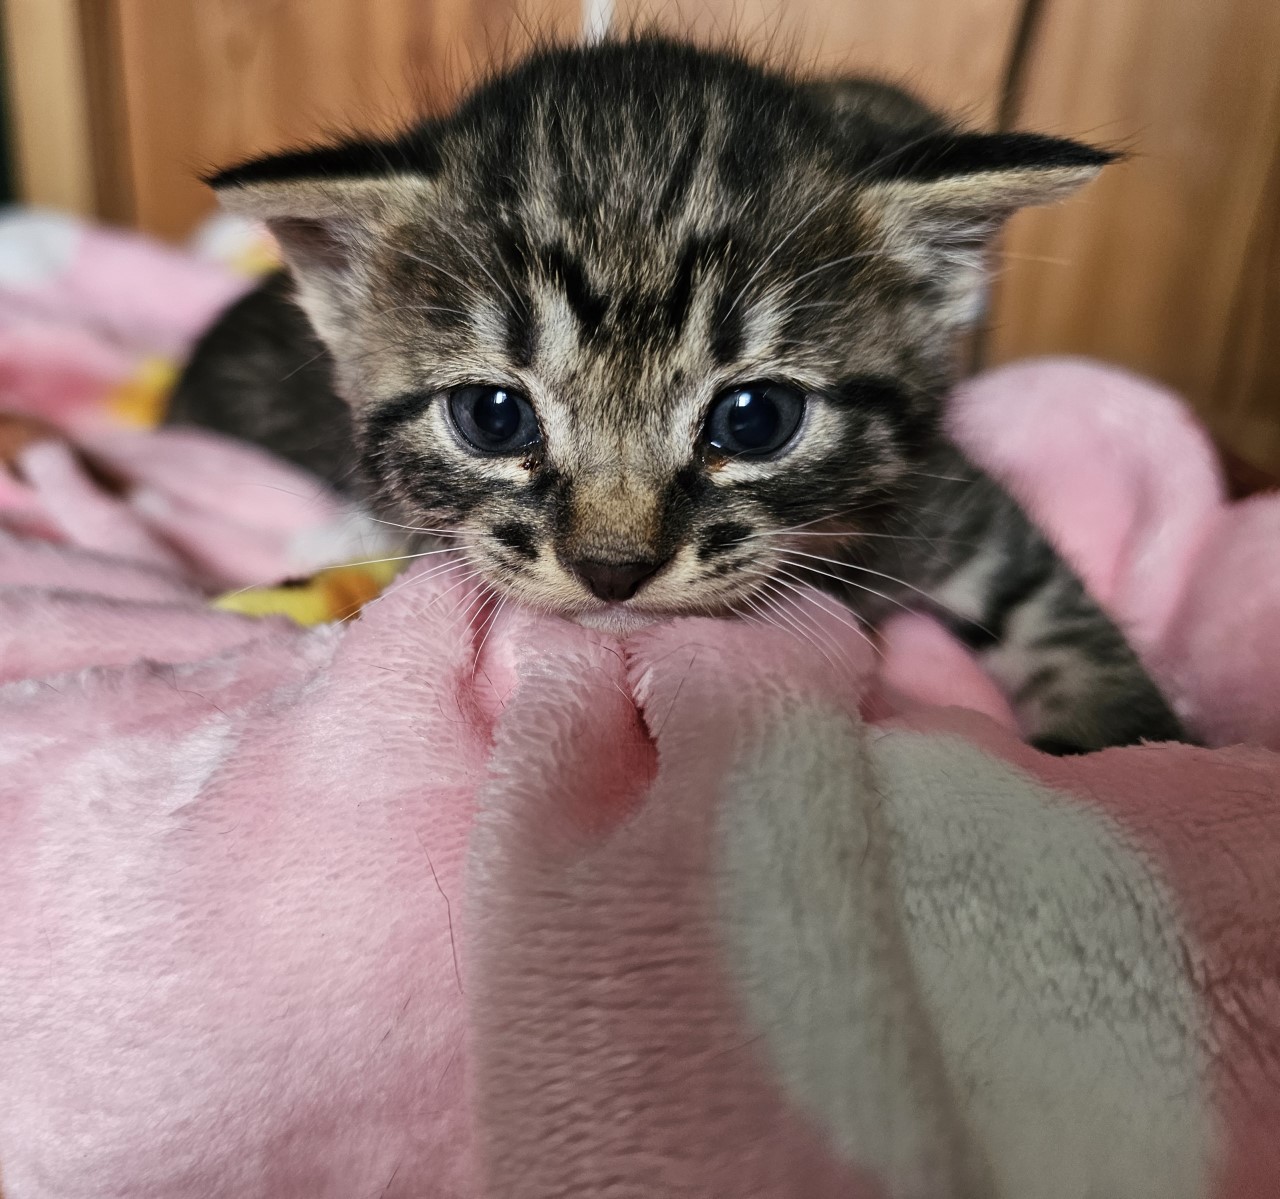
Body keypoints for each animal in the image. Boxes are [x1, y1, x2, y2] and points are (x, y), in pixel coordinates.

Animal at [170, 35, 1187, 747]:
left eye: (756, 418)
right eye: (493, 417)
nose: (614, 570)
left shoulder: (939, 491)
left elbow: (1053, 608)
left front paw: (1130, 749)